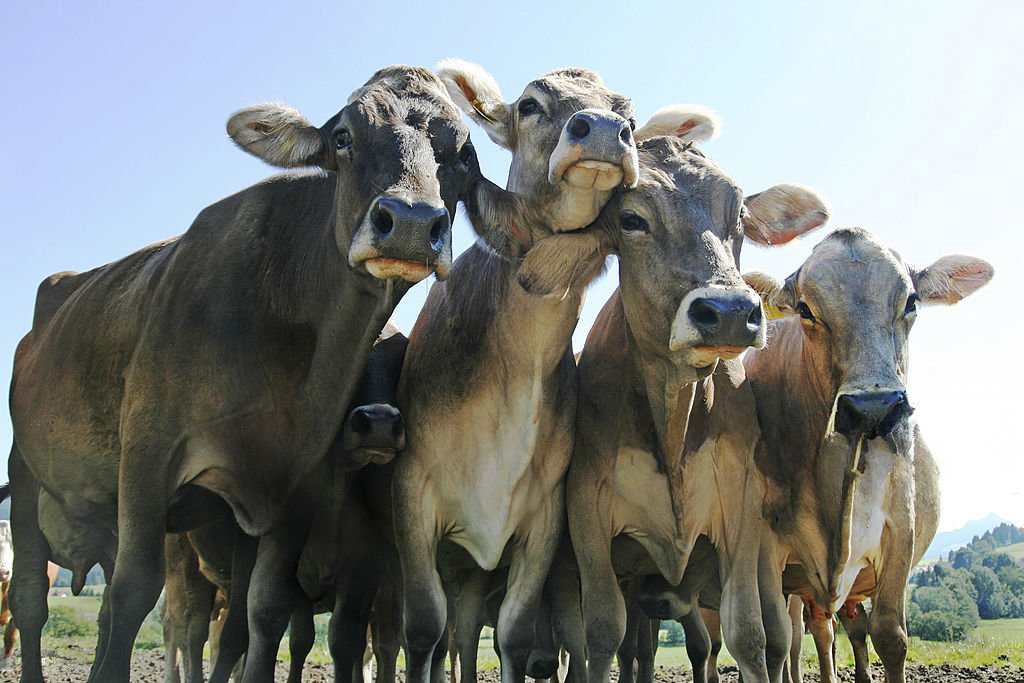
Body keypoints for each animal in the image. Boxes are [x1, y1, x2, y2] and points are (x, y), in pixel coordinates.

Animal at [7, 65, 528, 683]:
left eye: (463, 156)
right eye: (344, 136)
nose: (408, 222)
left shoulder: (281, 498)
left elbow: (259, 615)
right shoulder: (147, 454)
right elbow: (135, 592)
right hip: (25, 475)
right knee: (33, 602)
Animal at [381, 58, 729, 683]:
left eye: (628, 114)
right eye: (529, 105)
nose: (604, 130)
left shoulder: (544, 517)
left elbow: (516, 634)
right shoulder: (411, 495)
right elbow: (422, 629)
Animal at [566, 137, 829, 683]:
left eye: (740, 216)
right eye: (631, 218)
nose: (729, 313)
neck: (673, 416)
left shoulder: (742, 503)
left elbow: (748, 634)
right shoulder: (587, 511)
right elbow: (602, 634)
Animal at [740, 227, 993, 683]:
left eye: (911, 301)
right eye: (805, 310)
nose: (874, 406)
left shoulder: (899, 528)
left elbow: (890, 636)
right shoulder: (767, 548)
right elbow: (775, 642)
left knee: (849, 630)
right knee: (808, 635)